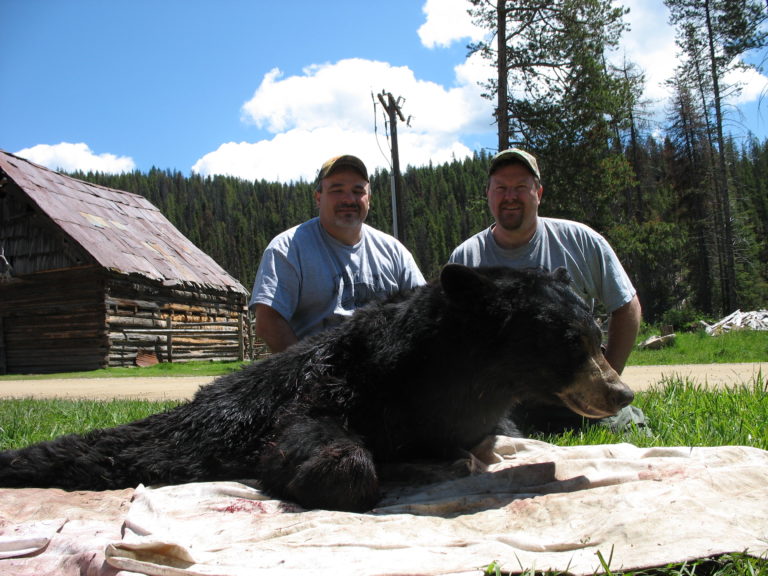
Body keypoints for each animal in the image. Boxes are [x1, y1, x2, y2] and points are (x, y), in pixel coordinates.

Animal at [0, 264, 634, 512]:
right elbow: (304, 435)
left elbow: (472, 442)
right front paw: (337, 473)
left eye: (595, 333)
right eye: (570, 342)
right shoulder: (334, 384)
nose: (621, 393)